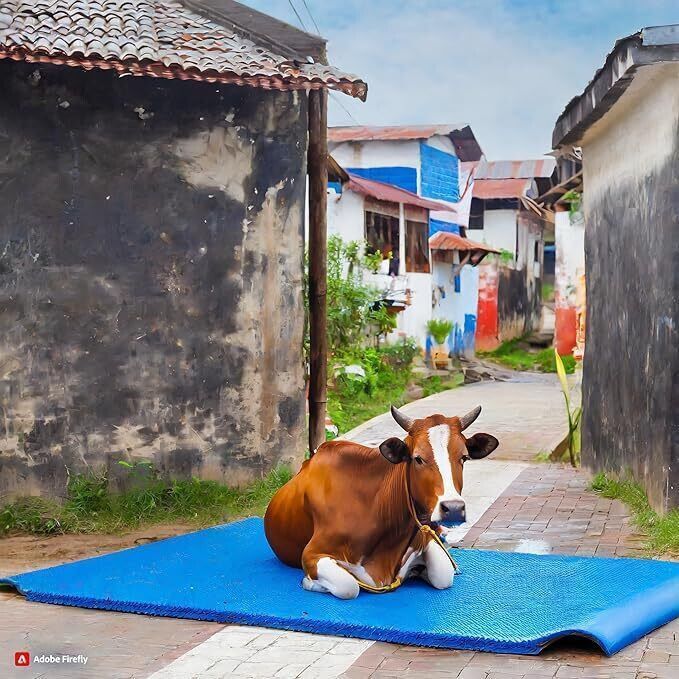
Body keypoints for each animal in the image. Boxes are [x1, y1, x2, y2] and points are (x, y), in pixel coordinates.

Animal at [264, 405, 499, 599]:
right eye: (418, 458)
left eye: (464, 457)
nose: (454, 508)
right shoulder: (312, 553)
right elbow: (349, 586)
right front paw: (311, 583)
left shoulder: (424, 535)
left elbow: (443, 574)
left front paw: (418, 570)